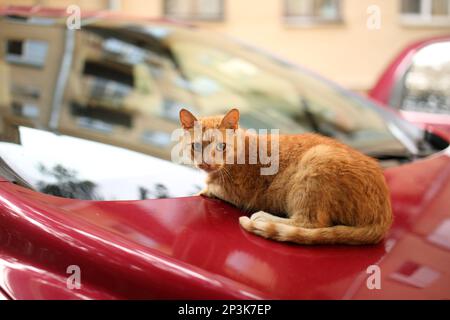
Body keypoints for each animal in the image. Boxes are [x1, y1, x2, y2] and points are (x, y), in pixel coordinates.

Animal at [178, 107, 392, 245]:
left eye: (222, 146)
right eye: (197, 146)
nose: (206, 163)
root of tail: (384, 216)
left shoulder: (239, 194)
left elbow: (211, 188)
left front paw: (203, 190)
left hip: (316, 162)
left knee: (310, 222)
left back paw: (264, 218)